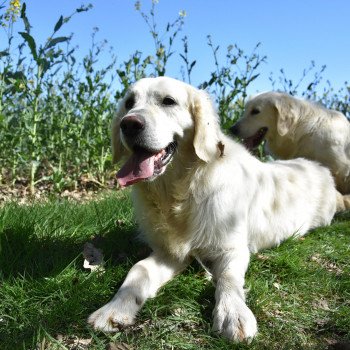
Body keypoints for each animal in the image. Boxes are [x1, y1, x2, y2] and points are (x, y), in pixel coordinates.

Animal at [89, 77, 338, 342]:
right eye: (129, 103)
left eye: (168, 101)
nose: (129, 124)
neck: (182, 190)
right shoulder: (170, 253)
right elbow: (138, 270)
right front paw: (114, 309)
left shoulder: (232, 248)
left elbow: (228, 278)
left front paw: (233, 313)